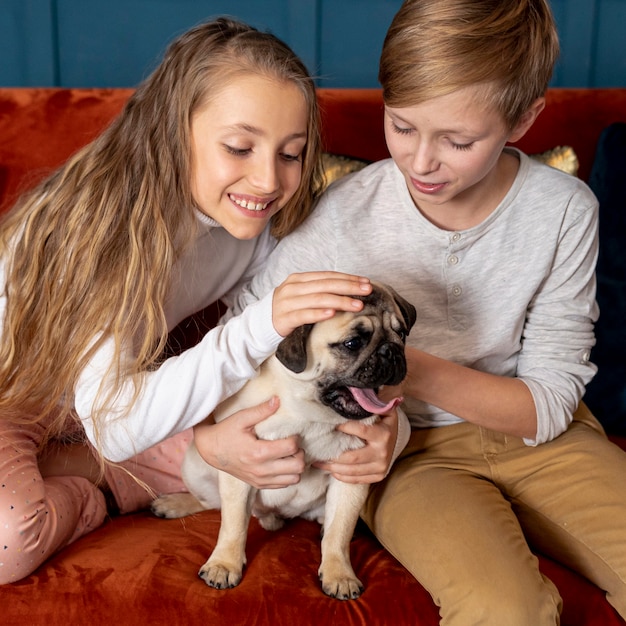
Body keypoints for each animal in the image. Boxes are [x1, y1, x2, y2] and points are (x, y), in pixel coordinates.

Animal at [151, 280, 414, 596]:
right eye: (352, 344)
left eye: (402, 334)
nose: (392, 351)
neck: (311, 416)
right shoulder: (240, 467)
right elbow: (233, 525)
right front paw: (224, 564)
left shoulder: (352, 476)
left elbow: (339, 532)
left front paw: (339, 573)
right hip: (194, 467)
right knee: (211, 504)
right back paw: (175, 504)